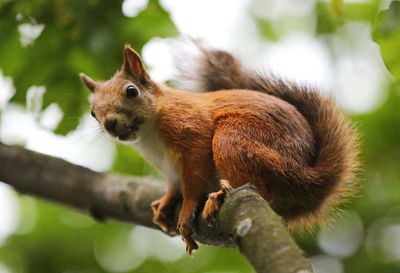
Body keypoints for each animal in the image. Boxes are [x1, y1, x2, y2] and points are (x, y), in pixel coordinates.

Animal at [80, 42, 360, 253]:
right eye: (92, 112)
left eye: (131, 91)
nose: (110, 124)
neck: (149, 135)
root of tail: (307, 175)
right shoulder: (169, 168)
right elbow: (175, 184)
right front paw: (166, 201)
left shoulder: (192, 136)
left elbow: (193, 181)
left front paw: (186, 211)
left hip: (235, 140)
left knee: (263, 189)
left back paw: (219, 197)